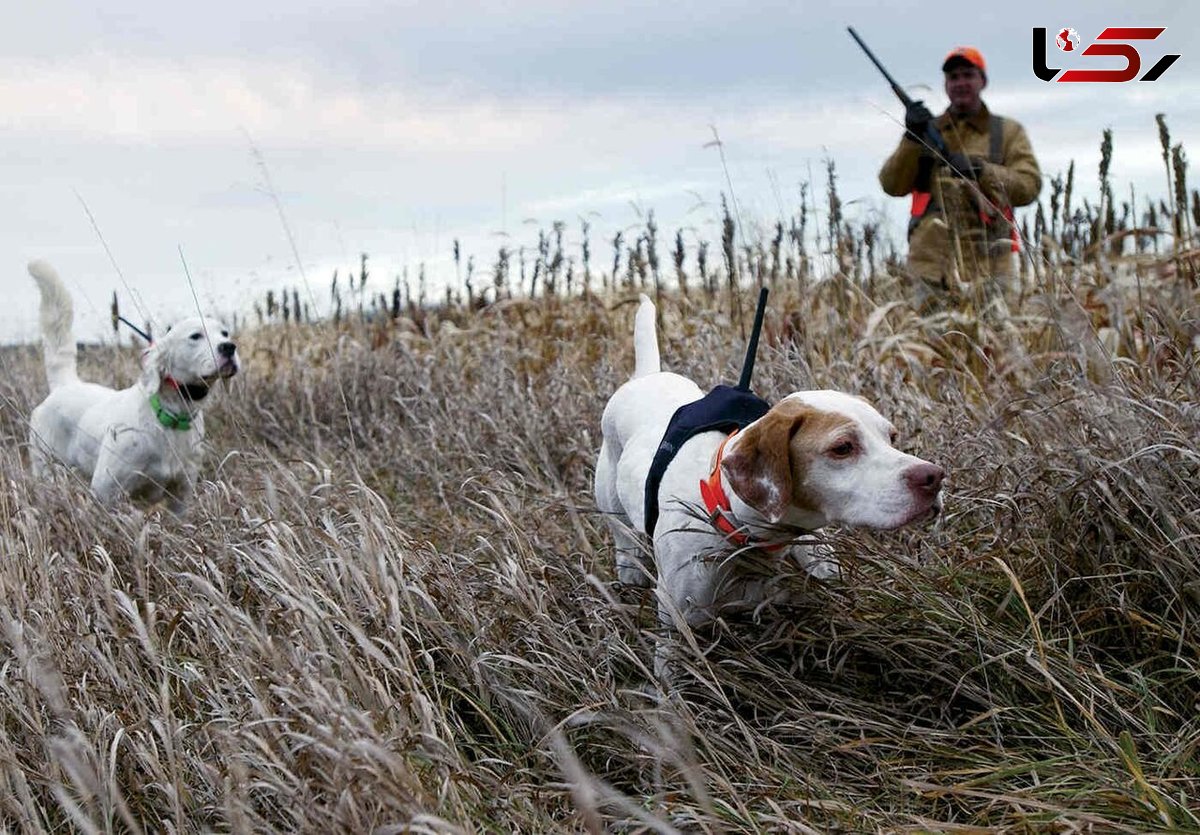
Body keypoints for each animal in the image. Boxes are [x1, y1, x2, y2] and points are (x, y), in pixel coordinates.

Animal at [592, 293, 945, 623]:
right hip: (618, 524)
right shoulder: (680, 619)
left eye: (892, 437)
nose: (934, 477)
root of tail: (645, 376)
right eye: (842, 448)